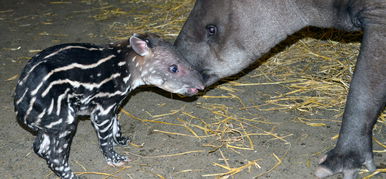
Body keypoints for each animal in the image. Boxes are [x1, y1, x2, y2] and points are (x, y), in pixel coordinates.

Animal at [13, 32, 204, 178]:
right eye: (173, 68)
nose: (201, 85)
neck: (127, 65)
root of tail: (20, 108)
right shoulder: (104, 106)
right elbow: (105, 138)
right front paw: (116, 159)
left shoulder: (113, 104)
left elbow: (116, 125)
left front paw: (122, 140)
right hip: (62, 117)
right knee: (55, 157)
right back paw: (72, 176)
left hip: (49, 122)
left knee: (40, 147)